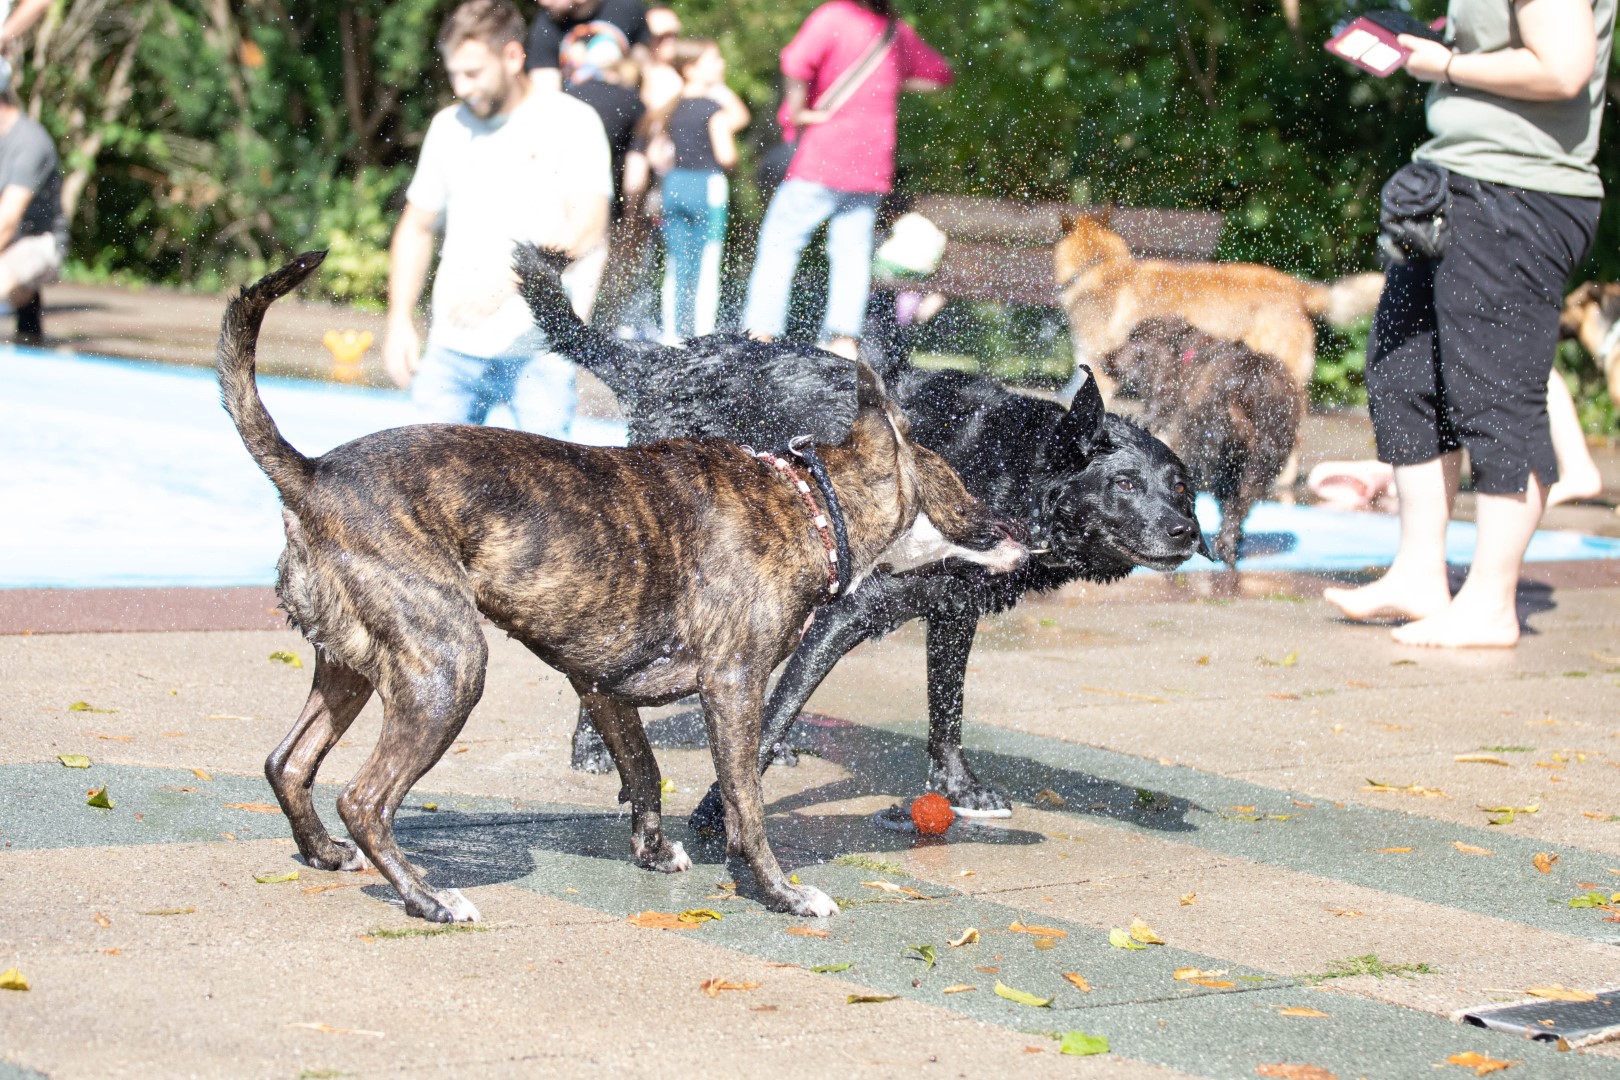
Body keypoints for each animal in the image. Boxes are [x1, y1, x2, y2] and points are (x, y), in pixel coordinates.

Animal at [219, 251, 1024, 921]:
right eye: (968, 485)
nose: (1022, 526)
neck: (811, 501)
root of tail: (312, 474)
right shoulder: (733, 688)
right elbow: (747, 803)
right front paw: (781, 892)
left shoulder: (602, 685)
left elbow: (644, 769)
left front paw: (653, 848)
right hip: (447, 668)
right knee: (365, 798)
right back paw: (428, 898)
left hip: (353, 663)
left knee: (289, 763)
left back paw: (325, 853)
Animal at [680, 364, 1208, 833]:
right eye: (1125, 483)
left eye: (1180, 487)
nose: (1186, 530)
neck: (1007, 478)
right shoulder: (850, 611)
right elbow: (781, 711)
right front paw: (716, 813)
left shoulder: (955, 610)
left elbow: (947, 706)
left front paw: (959, 787)